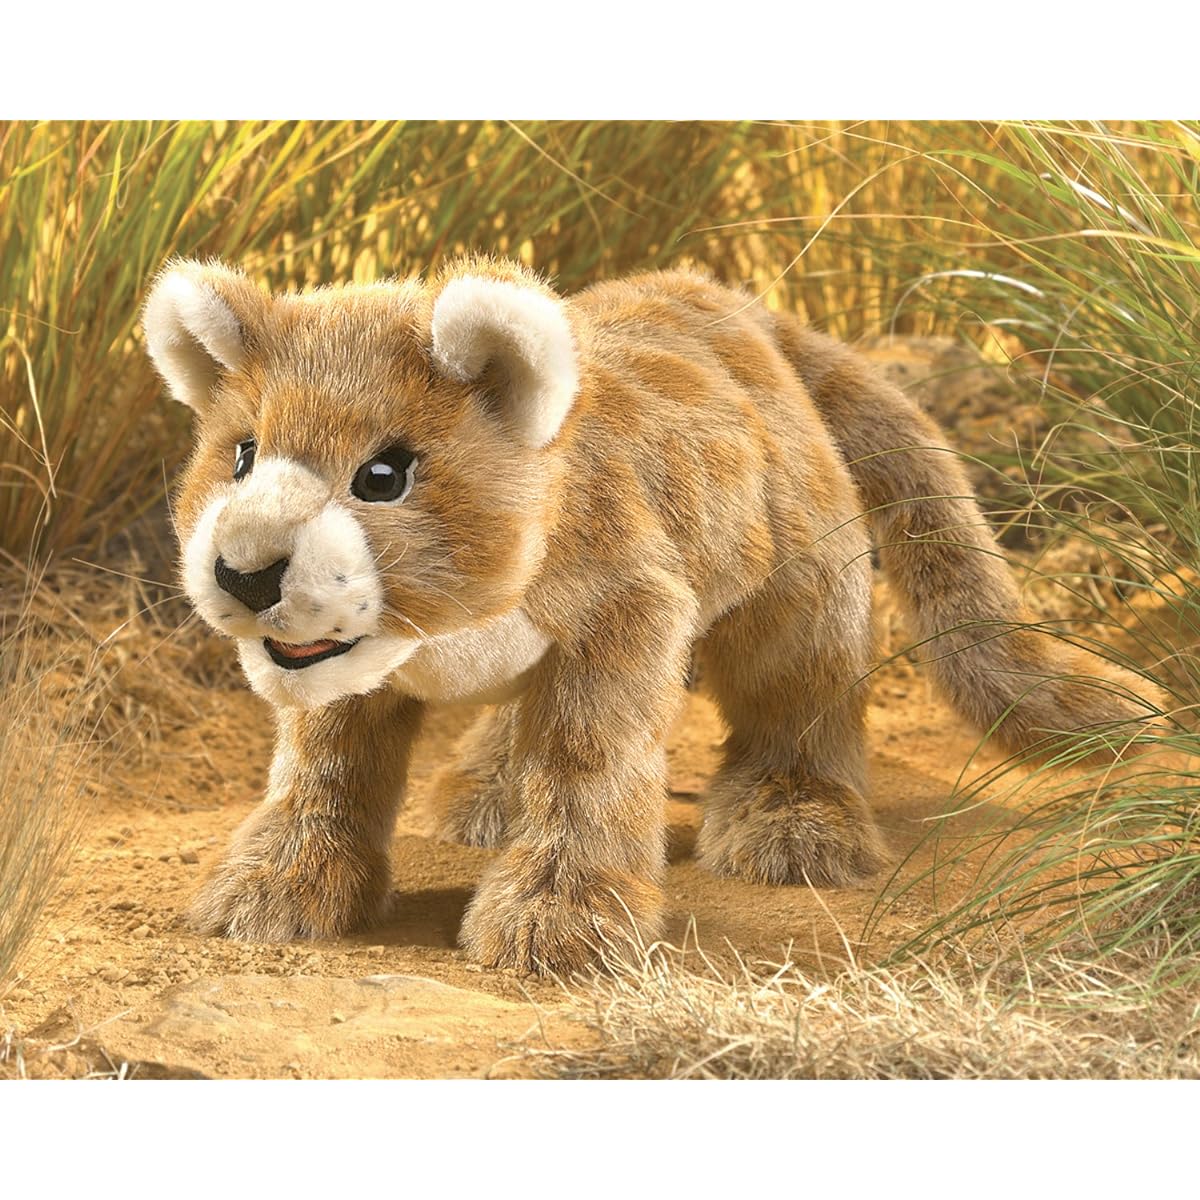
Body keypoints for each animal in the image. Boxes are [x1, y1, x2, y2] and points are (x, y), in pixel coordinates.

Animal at [142, 255, 1161, 975]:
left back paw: (794, 827)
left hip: (798, 591)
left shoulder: (624, 610)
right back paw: (482, 795)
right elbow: (327, 772)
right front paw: (275, 889)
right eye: (242, 455)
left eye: (383, 476)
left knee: (800, 701)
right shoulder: (344, 665)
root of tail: (726, 296)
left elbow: (588, 759)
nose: (244, 571)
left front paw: (560, 921)